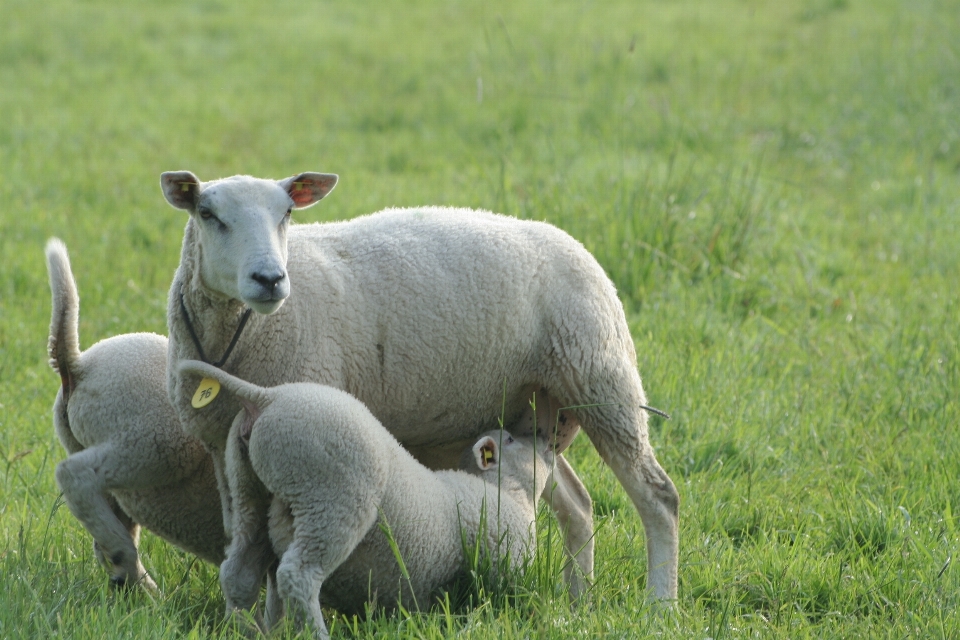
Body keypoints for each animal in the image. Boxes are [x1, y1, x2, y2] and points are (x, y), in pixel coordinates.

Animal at [177, 358, 552, 636]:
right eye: (510, 441)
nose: (547, 441)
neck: (508, 493)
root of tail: (266, 397)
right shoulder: (504, 564)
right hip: (331, 497)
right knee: (297, 575)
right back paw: (316, 633)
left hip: (249, 491)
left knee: (238, 571)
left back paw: (242, 630)